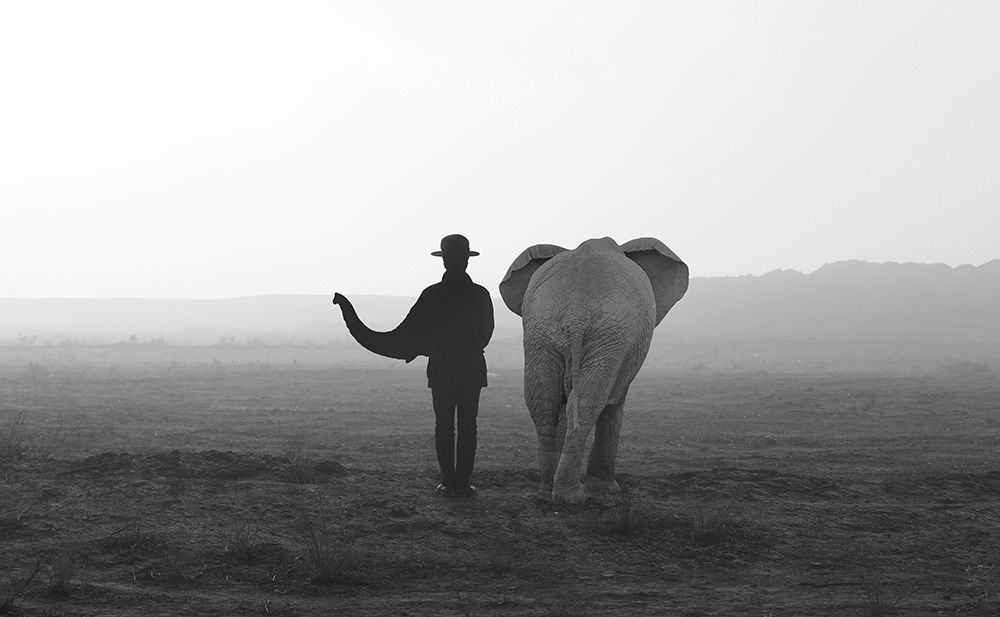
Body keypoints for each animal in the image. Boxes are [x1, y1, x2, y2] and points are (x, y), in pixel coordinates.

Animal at [499, 237, 688, 503]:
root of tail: (576, 313)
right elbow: (614, 403)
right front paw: (608, 491)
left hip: (541, 331)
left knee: (545, 402)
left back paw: (547, 494)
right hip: (609, 336)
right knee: (589, 402)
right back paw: (573, 498)